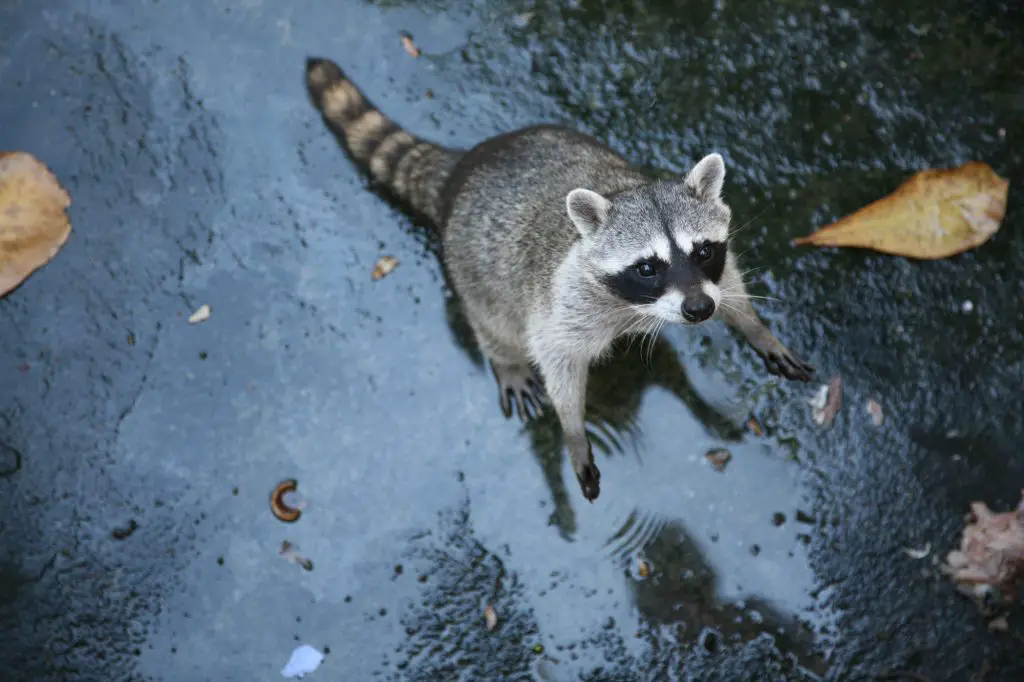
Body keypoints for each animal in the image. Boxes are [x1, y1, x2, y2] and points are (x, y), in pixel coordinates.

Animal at [303, 57, 815, 499]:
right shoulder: (565, 298)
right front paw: (573, 429)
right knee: (491, 319)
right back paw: (504, 356)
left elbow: (729, 287)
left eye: (703, 250)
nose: (698, 311)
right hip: (470, 266)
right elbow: (557, 357)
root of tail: (464, 166)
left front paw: (755, 328)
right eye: (647, 267)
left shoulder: (709, 273)